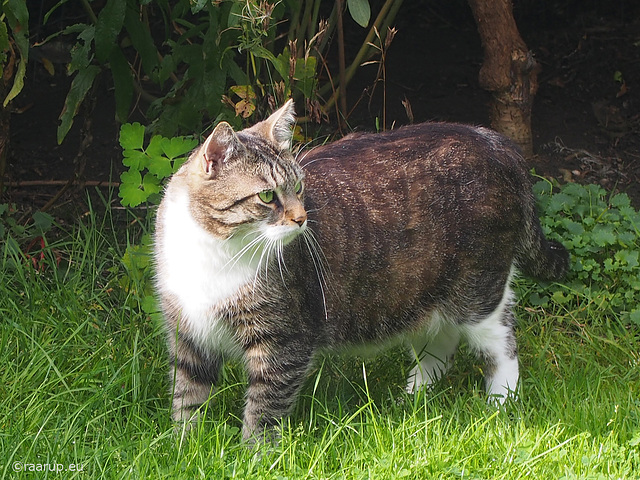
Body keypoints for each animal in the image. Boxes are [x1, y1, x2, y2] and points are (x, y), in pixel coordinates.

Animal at [152, 99, 568, 444]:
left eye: (299, 186)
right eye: (267, 196)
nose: (302, 219)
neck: (215, 251)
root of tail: (494, 141)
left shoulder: (285, 340)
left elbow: (265, 405)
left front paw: (254, 455)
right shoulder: (188, 333)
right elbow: (187, 395)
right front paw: (182, 447)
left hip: (476, 290)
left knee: (501, 340)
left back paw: (500, 401)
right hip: (416, 290)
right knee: (439, 342)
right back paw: (412, 400)